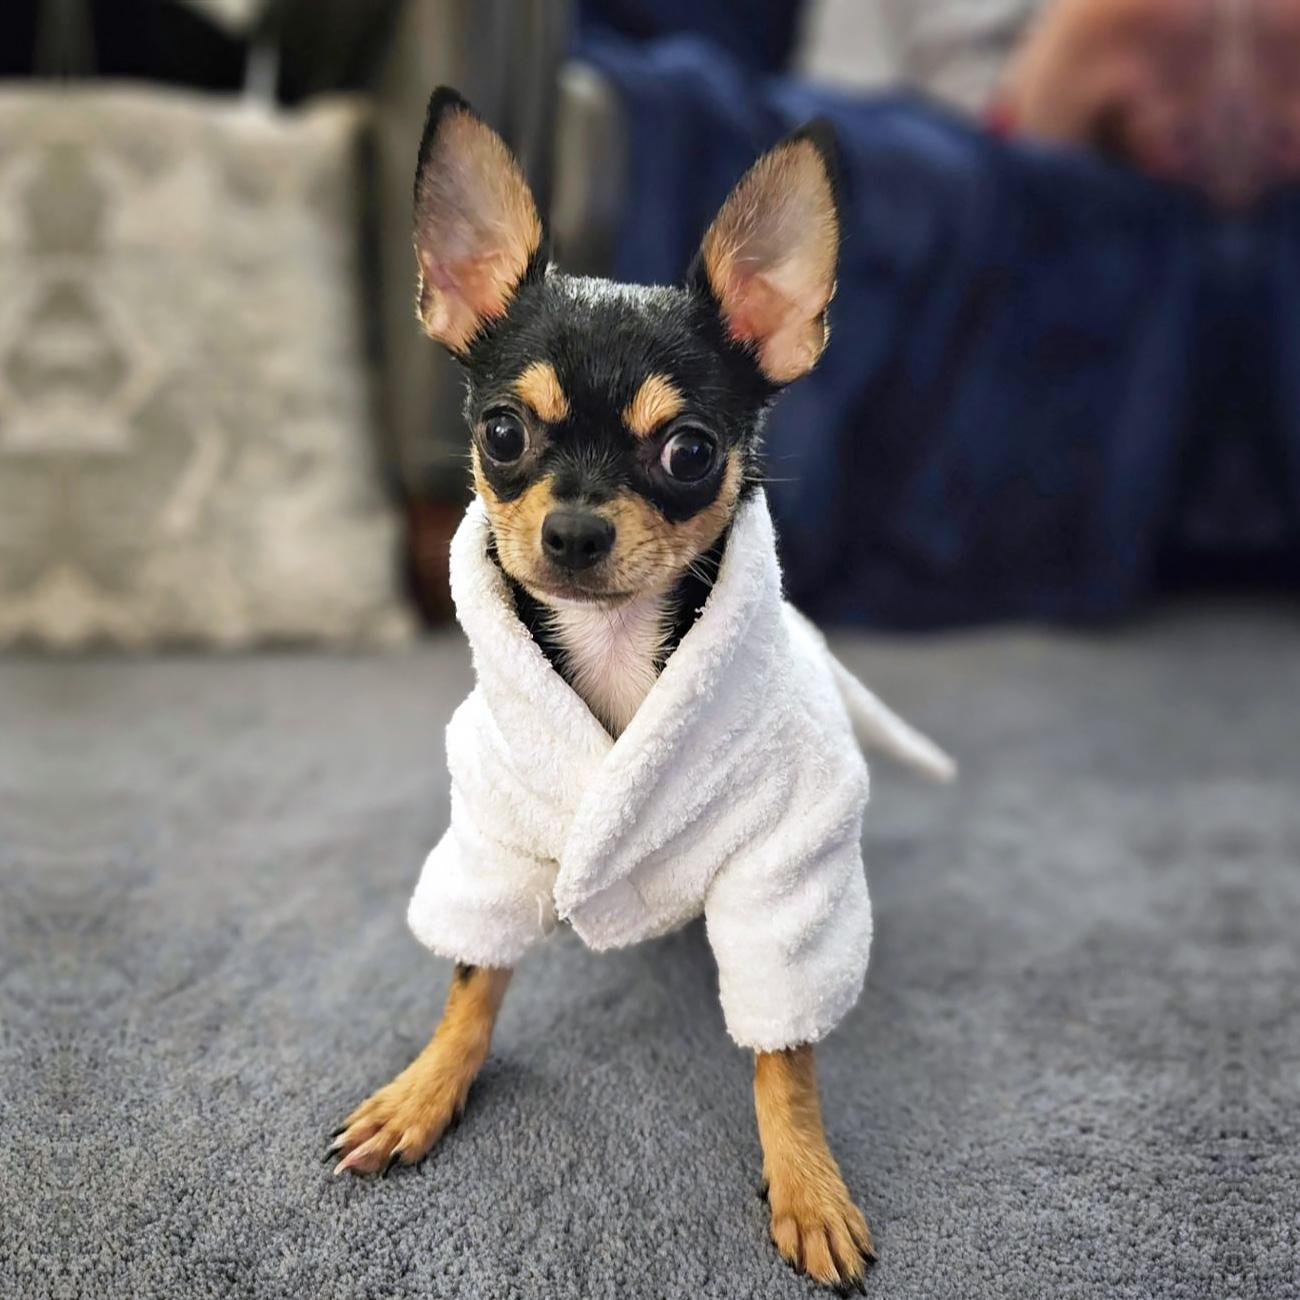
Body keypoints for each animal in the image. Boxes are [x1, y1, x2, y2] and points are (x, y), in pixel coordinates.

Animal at [328, 87, 913, 1292]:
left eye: (689, 452)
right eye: (502, 433)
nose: (574, 530)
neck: (610, 654)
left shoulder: (782, 880)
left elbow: (784, 1051)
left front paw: (806, 1178)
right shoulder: (492, 837)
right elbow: (471, 980)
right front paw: (425, 1088)